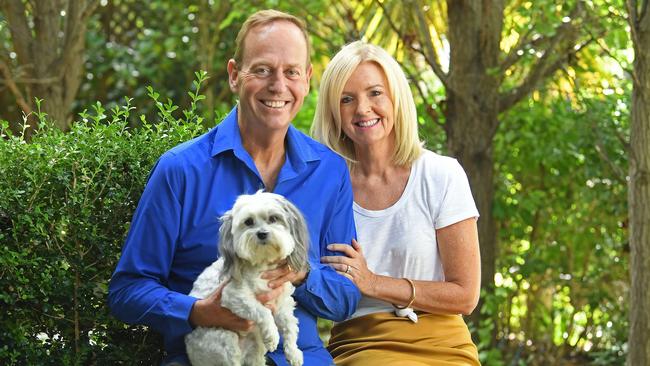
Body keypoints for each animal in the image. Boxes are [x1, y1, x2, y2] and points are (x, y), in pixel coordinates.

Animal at [185, 192, 308, 366]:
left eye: (273, 218)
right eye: (248, 221)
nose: (262, 233)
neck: (262, 265)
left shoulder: (282, 302)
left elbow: (290, 326)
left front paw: (293, 352)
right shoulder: (234, 297)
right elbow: (263, 312)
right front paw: (273, 336)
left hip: (255, 348)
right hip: (225, 340)